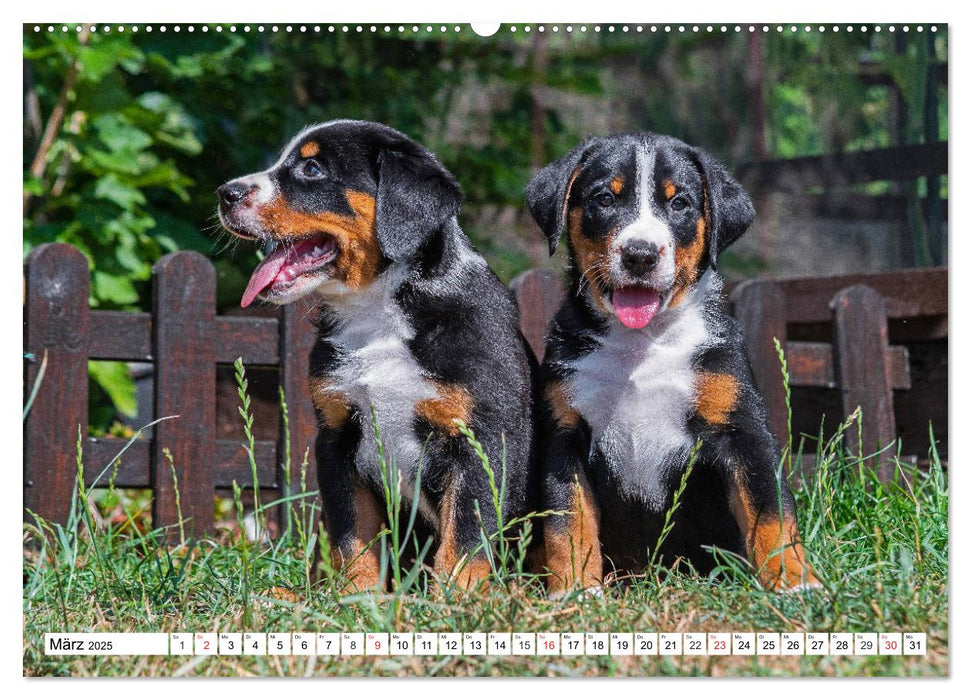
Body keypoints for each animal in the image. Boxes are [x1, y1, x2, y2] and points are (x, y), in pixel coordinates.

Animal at [218, 119, 540, 592]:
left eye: (312, 169)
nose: (226, 192)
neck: (377, 313)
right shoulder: (337, 437)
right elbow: (353, 535)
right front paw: (356, 596)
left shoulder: (481, 439)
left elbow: (465, 538)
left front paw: (453, 599)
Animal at [524, 131, 820, 596]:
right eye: (604, 199)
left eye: (679, 203)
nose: (640, 254)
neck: (642, 344)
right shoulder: (564, 433)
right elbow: (568, 523)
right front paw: (575, 590)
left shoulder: (743, 431)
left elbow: (771, 512)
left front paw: (794, 583)